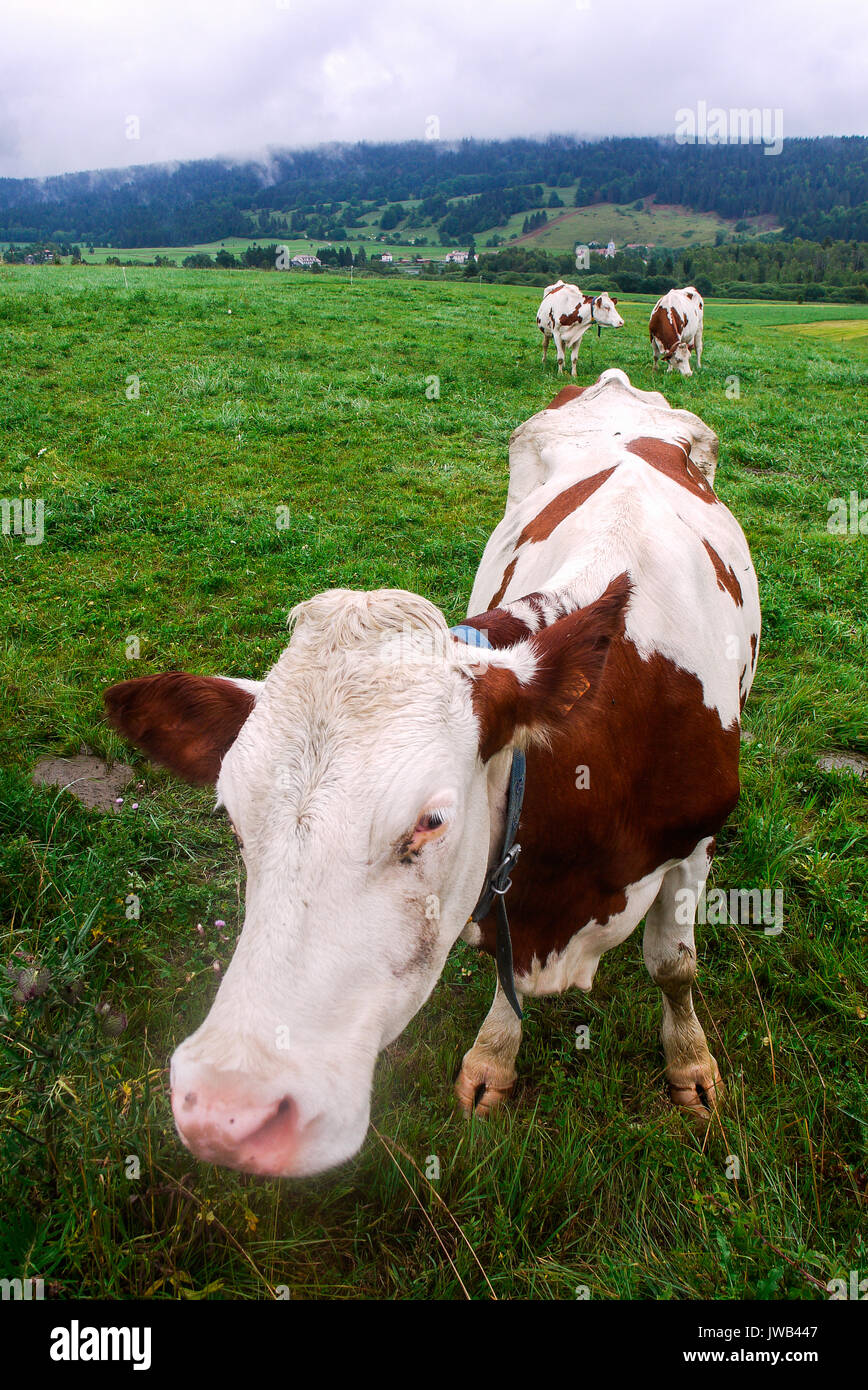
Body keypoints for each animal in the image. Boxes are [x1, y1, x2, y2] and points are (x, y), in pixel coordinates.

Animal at [104, 368, 759, 1179]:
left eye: (431, 820)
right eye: (233, 816)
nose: (229, 1108)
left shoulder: (695, 842)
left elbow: (673, 966)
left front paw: (690, 1067)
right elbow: (504, 978)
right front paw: (494, 1059)